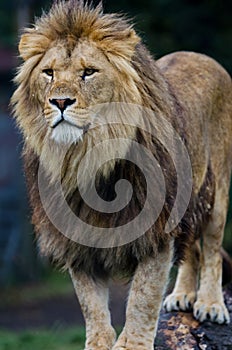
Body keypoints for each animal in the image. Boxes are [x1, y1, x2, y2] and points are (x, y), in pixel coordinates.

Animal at [11, 0, 232, 350]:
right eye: (49, 73)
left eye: (89, 72)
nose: (60, 101)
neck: (86, 157)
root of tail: (199, 55)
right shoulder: (76, 236)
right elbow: (90, 304)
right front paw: (99, 344)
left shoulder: (157, 228)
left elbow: (143, 297)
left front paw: (132, 344)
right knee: (191, 250)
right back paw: (182, 295)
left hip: (218, 192)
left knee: (210, 246)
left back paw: (210, 304)